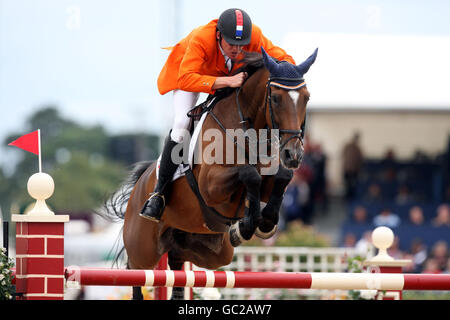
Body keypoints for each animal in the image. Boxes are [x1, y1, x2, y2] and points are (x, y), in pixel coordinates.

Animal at [105, 47, 316, 300]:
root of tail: (139, 186)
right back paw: (154, 205)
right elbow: (249, 173)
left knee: (177, 259)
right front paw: (248, 224)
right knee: (136, 270)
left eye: (306, 98)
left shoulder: (269, 179)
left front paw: (262, 222)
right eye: (275, 98)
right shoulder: (210, 186)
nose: (293, 154)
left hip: (211, 251)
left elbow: (282, 177)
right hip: (143, 248)